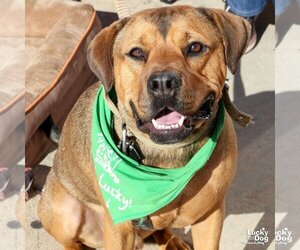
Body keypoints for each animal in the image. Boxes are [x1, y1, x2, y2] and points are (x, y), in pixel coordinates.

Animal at [38, 5, 251, 250]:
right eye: (137, 53)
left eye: (195, 47)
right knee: (71, 242)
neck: (169, 155)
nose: (163, 83)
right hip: (64, 211)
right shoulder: (119, 229)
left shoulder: (211, 214)